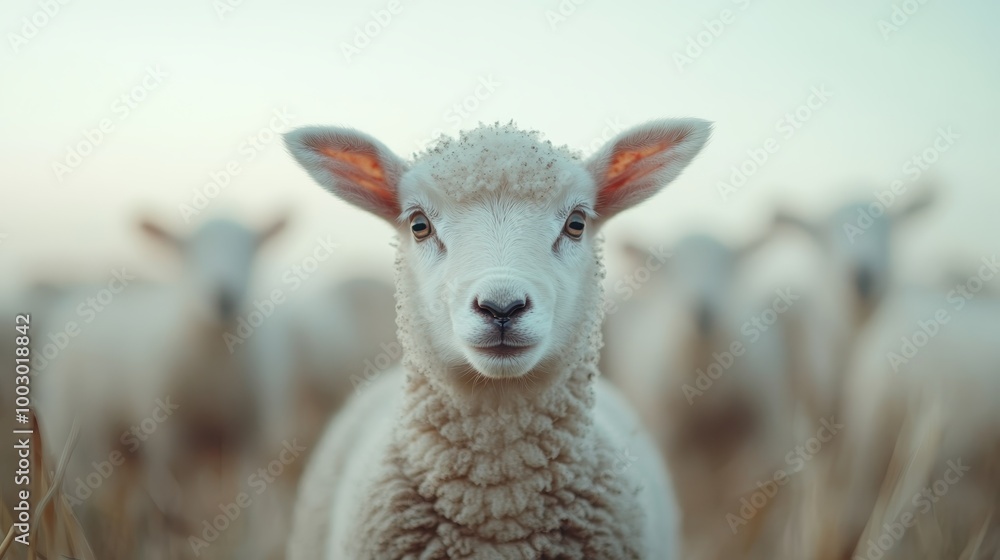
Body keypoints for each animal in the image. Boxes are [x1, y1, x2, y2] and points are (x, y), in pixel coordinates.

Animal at [33, 214, 287, 560]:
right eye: (187, 251)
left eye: (252, 249)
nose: (223, 296)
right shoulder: (171, 441)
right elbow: (177, 509)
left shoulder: (247, 437)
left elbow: (247, 507)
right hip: (80, 440)